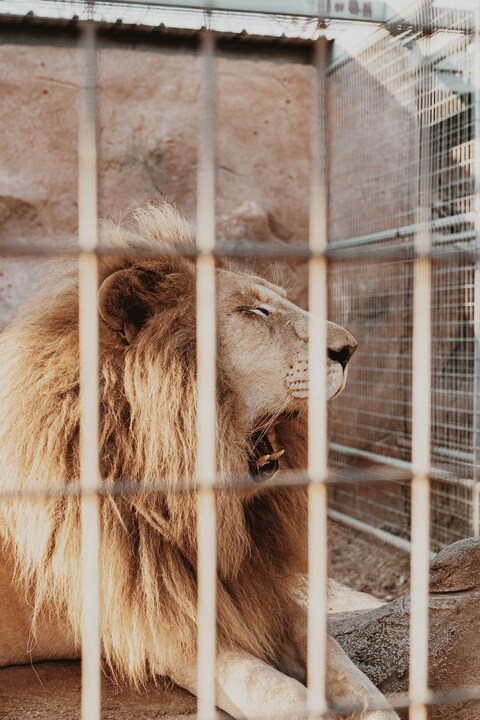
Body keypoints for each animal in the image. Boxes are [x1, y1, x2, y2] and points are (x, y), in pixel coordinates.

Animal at [0, 203, 398, 720]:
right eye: (255, 311)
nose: (349, 348)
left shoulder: (252, 592)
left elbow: (338, 658)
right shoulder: (157, 622)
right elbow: (275, 691)